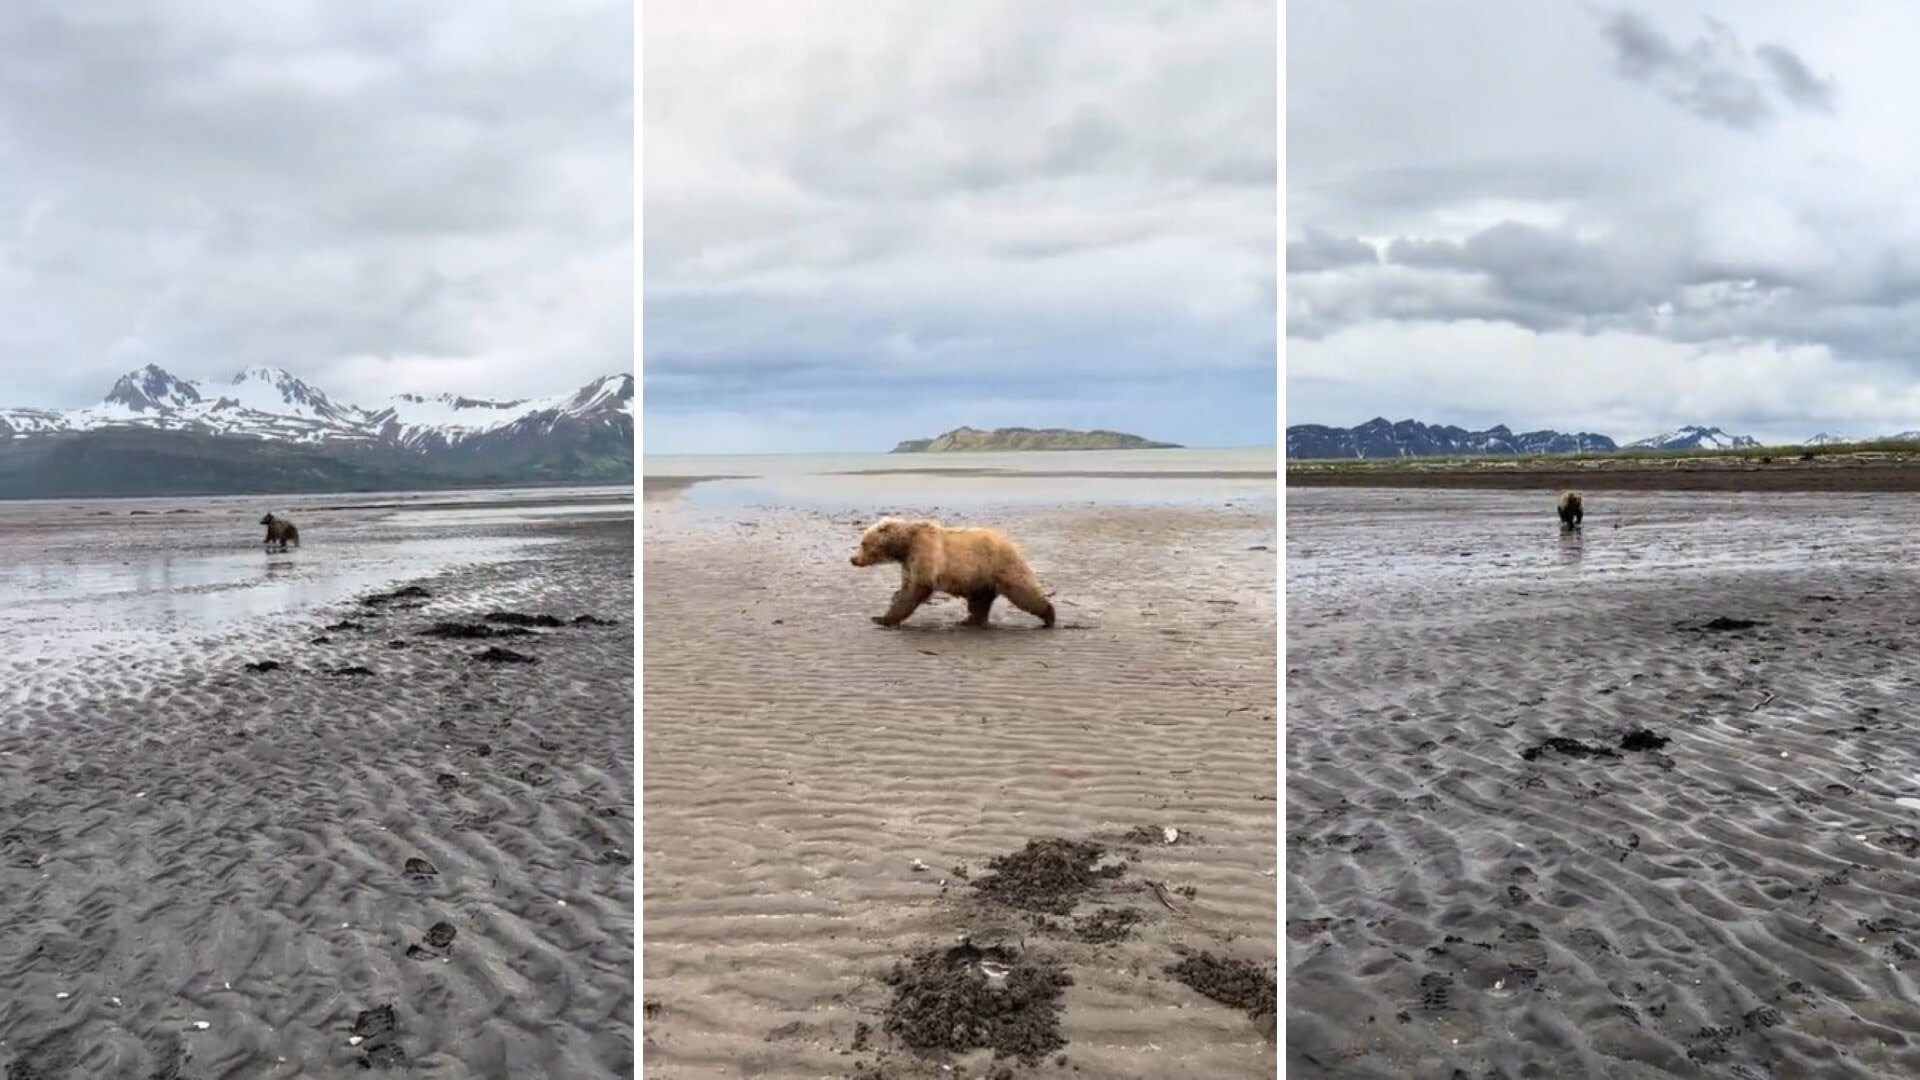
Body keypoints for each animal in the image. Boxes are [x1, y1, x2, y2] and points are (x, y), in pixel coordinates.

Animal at [849, 517, 1056, 628]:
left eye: (863, 542)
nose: (853, 559)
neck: (904, 546)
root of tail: (1012, 543)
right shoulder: (909, 563)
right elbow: (906, 587)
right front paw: (885, 613)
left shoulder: (925, 555)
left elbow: (916, 589)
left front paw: (883, 619)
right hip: (979, 578)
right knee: (979, 601)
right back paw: (969, 621)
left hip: (999, 565)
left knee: (1023, 590)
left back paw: (1049, 616)